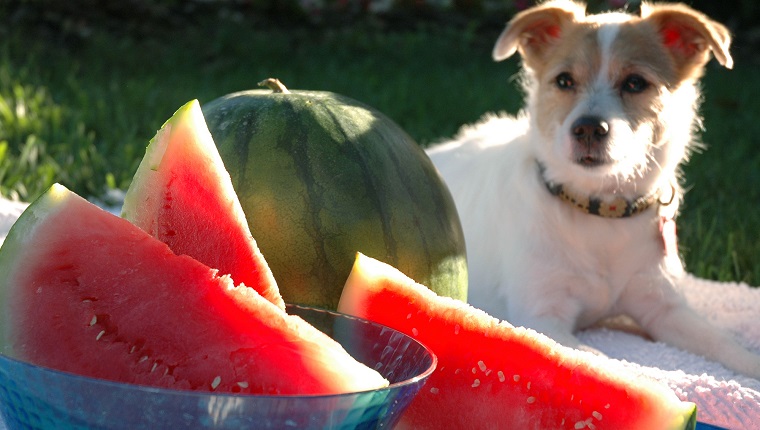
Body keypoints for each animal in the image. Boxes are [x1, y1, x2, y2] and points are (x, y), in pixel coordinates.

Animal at [428, 0, 760, 378]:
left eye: (635, 83)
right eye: (564, 81)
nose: (587, 128)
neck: (601, 212)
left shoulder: (664, 306)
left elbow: (723, 344)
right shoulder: (541, 316)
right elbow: (604, 361)